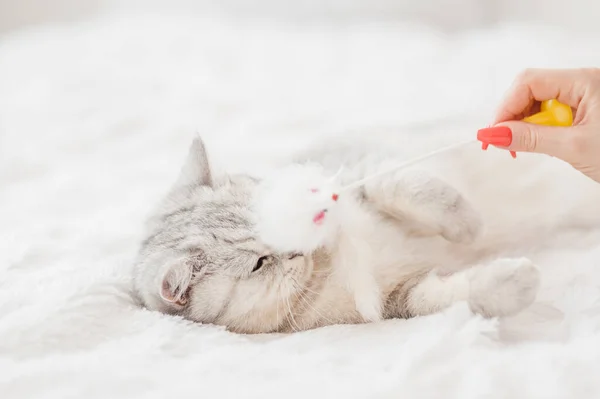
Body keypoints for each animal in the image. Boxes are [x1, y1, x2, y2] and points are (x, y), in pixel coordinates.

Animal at [134, 137, 540, 334]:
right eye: (259, 263)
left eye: (269, 209)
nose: (294, 247)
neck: (324, 265)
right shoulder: (397, 300)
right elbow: (445, 296)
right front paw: (512, 280)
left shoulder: (361, 170)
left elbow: (402, 186)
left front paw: (466, 223)